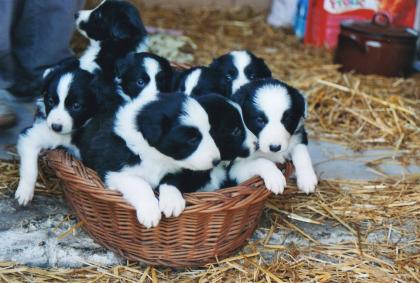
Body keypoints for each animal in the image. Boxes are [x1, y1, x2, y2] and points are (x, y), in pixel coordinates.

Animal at [14, 62, 98, 206]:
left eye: (76, 106)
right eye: (51, 101)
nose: (56, 127)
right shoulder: (30, 136)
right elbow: (30, 168)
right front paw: (24, 192)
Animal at [76, 93, 220, 229]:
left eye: (209, 131)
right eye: (192, 139)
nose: (217, 161)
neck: (156, 156)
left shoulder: (176, 169)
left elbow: (171, 180)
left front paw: (172, 202)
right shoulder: (113, 171)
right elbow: (140, 184)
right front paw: (150, 212)